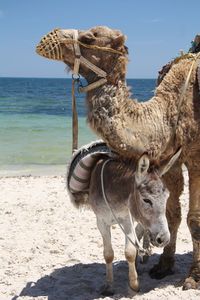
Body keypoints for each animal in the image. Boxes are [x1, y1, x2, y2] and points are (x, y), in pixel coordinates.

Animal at [67, 141, 181, 296]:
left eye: (167, 197)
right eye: (146, 200)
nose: (164, 239)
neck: (114, 189)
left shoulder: (128, 219)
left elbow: (130, 252)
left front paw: (134, 285)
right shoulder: (101, 222)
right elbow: (108, 254)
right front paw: (109, 287)